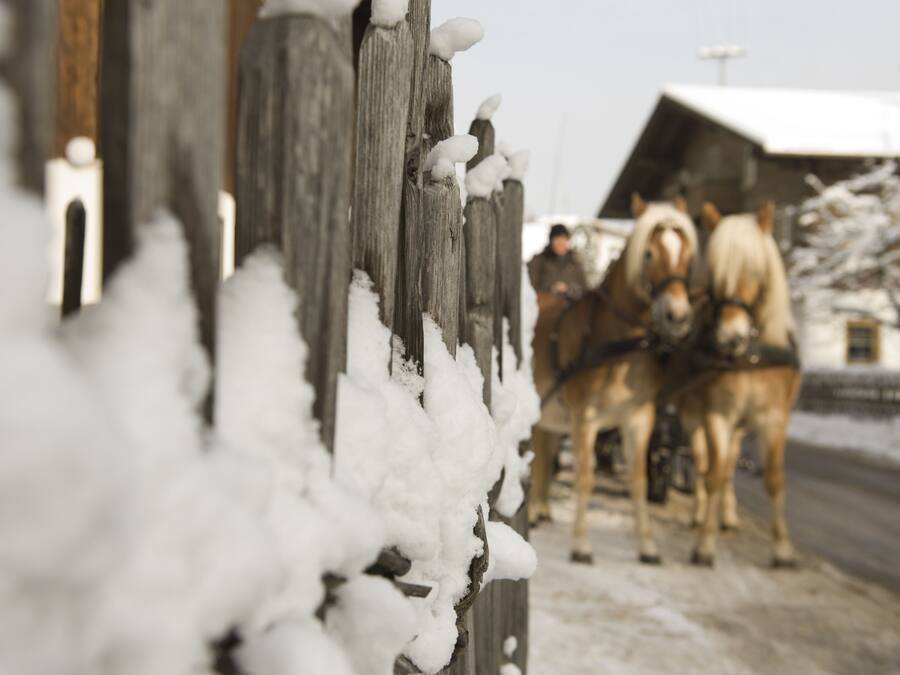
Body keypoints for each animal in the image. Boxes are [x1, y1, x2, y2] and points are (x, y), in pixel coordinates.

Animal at [529, 194, 699, 564]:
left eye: (686, 255)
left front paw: (647, 547)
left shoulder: (639, 417)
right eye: (648, 254)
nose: (677, 316)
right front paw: (581, 545)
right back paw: (534, 512)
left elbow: (638, 480)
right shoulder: (584, 419)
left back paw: (541, 508)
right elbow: (585, 478)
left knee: (546, 451)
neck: (619, 345)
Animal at [677, 203, 801, 568]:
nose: (730, 338)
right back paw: (700, 513)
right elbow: (713, 474)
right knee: (704, 463)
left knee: (731, 461)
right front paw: (704, 545)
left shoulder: (774, 418)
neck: (752, 354)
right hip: (693, 415)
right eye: (716, 272)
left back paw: (729, 516)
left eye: (756, 270)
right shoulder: (717, 415)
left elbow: (773, 479)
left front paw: (782, 549)